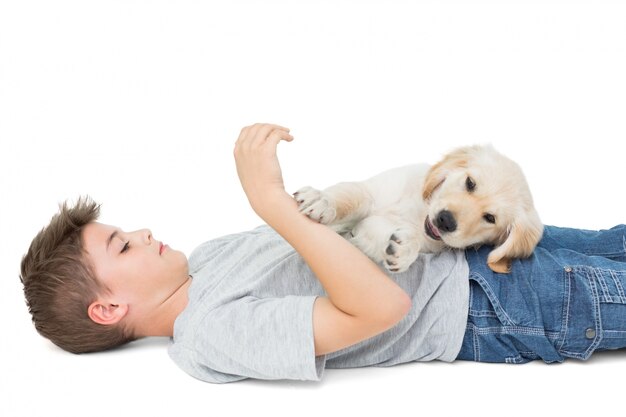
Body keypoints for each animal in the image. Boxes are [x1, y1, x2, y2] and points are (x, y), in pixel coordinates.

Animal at [292, 145, 540, 272]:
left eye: (490, 218)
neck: (419, 211)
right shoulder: (373, 192)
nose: (445, 220)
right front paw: (323, 200)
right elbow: (350, 196)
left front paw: (404, 250)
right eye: (470, 183)